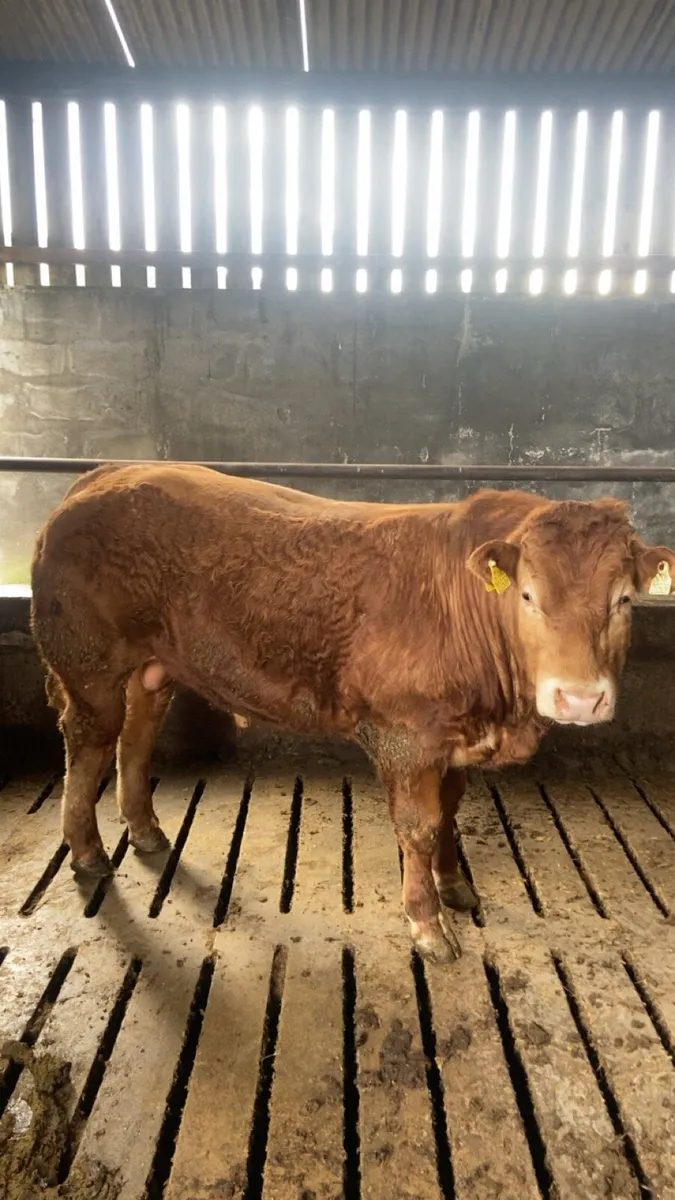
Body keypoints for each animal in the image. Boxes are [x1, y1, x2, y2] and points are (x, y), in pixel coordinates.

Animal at [30, 463, 675, 964]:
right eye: (528, 596)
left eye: (623, 599)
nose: (579, 698)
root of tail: (104, 474)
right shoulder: (404, 736)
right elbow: (420, 826)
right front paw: (427, 924)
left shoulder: (455, 739)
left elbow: (450, 811)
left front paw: (454, 886)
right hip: (88, 665)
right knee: (88, 744)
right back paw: (87, 852)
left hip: (152, 668)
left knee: (135, 737)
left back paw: (145, 830)